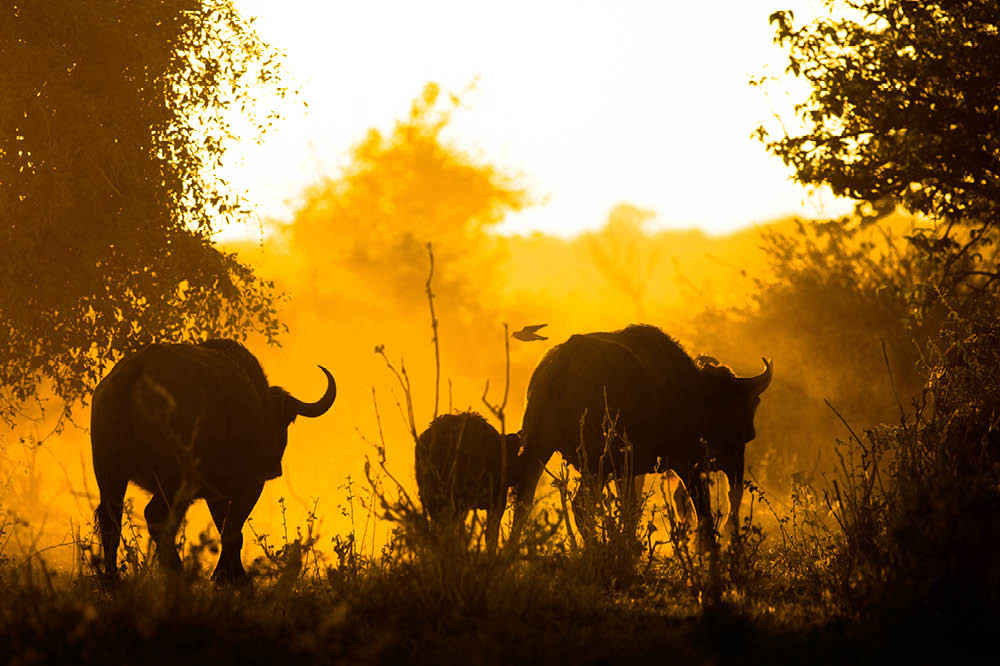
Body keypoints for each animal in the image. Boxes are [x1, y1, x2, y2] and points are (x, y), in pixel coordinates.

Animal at [89, 340, 336, 580]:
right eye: (285, 421)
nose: (274, 469)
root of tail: (136, 369)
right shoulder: (250, 485)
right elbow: (233, 531)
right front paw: (234, 578)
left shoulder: (216, 494)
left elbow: (224, 528)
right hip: (173, 481)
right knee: (156, 517)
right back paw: (177, 573)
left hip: (110, 475)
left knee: (111, 520)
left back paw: (113, 580)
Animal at [516, 322, 772, 544]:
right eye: (744, 405)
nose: (750, 433)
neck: (693, 392)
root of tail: (563, 363)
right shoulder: (688, 463)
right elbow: (705, 513)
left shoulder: (629, 471)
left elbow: (631, 510)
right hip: (596, 465)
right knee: (581, 506)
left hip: (537, 448)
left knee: (523, 500)